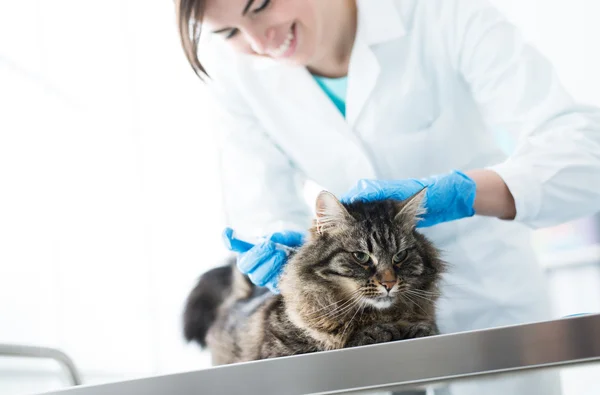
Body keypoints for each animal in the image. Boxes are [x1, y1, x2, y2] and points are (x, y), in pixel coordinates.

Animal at [183, 190, 446, 366]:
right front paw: (379, 332)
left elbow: (425, 327)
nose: (389, 283)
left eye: (400, 255)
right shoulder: (283, 352)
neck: (377, 315)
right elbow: (352, 338)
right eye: (361, 256)